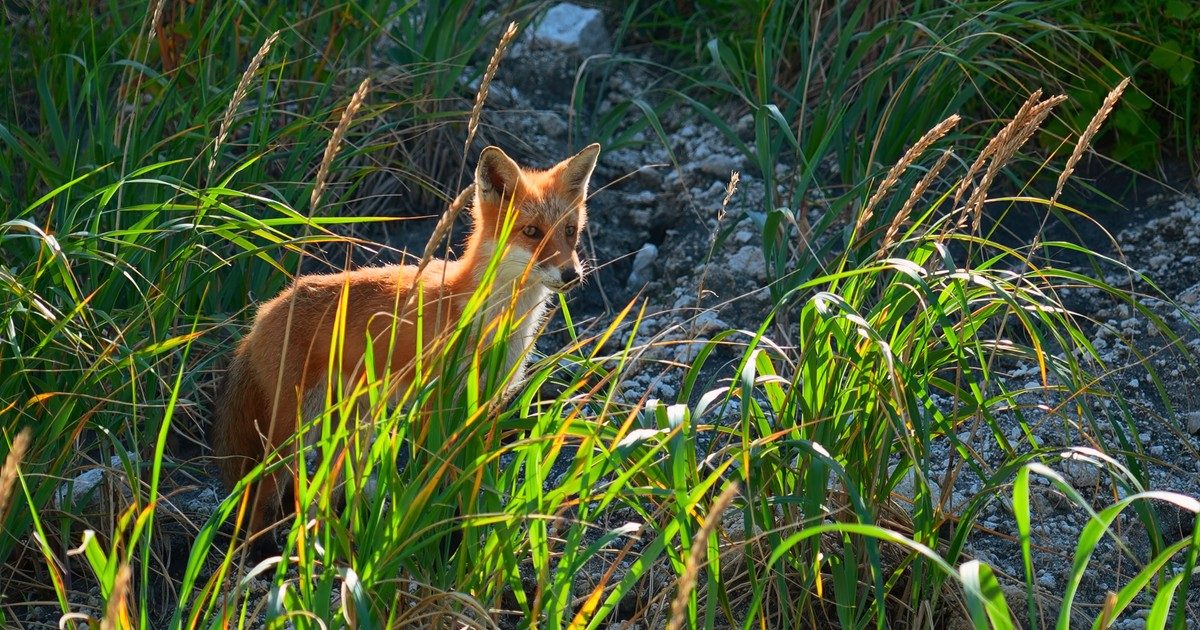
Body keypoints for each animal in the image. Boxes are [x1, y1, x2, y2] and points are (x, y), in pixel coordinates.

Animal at [208, 142, 600, 544]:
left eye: (570, 231)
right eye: (532, 232)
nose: (572, 274)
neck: (480, 315)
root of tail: (263, 313)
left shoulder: (485, 402)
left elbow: (473, 477)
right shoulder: (435, 402)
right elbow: (437, 478)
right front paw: (442, 536)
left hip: (353, 426)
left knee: (326, 487)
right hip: (295, 430)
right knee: (265, 496)